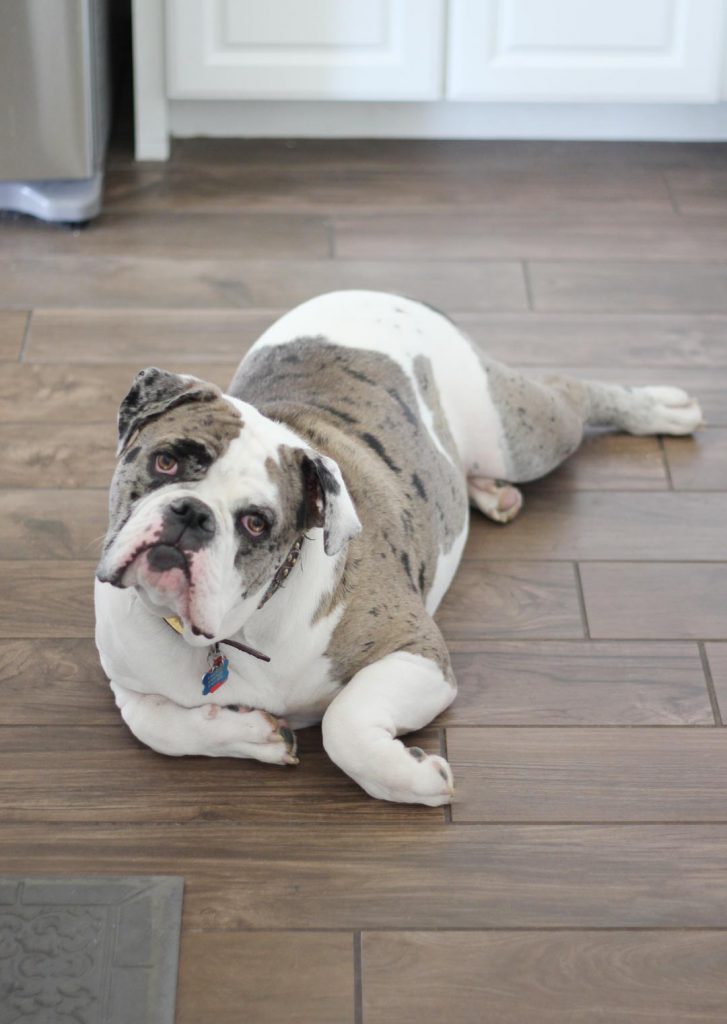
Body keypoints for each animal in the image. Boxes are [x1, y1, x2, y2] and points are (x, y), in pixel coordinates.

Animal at [94, 290, 704, 806]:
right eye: (166, 461)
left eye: (255, 524)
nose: (191, 515)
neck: (235, 633)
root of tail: (386, 293)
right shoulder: (127, 683)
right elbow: (155, 727)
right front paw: (256, 734)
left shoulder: (417, 651)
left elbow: (341, 722)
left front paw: (416, 778)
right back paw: (486, 492)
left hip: (520, 436)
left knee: (571, 393)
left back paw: (665, 408)